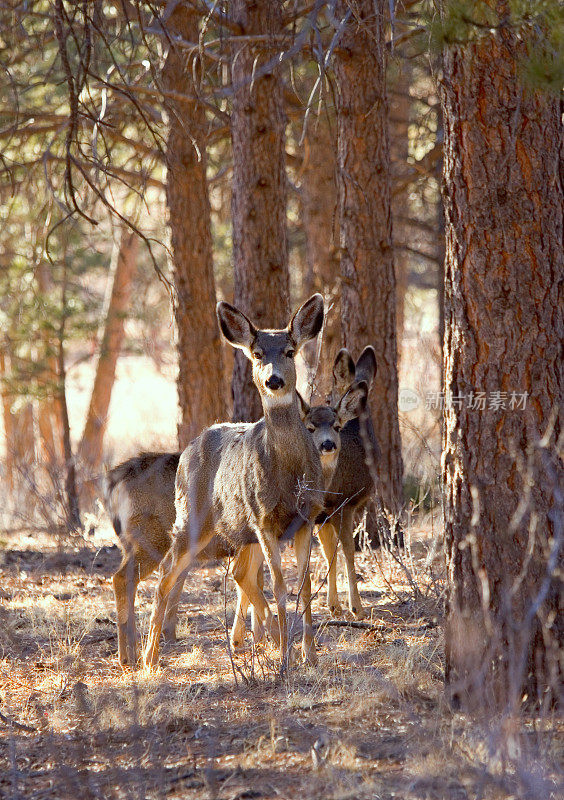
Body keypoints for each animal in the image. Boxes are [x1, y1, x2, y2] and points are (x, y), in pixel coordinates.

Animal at [143, 294, 324, 668]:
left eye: (290, 351)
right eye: (257, 353)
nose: (274, 381)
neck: (289, 473)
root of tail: (187, 450)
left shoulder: (306, 517)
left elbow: (305, 585)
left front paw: (310, 656)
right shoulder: (263, 518)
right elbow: (280, 585)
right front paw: (285, 658)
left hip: (239, 530)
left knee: (239, 574)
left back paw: (254, 639)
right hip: (193, 518)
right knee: (165, 575)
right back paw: (148, 658)